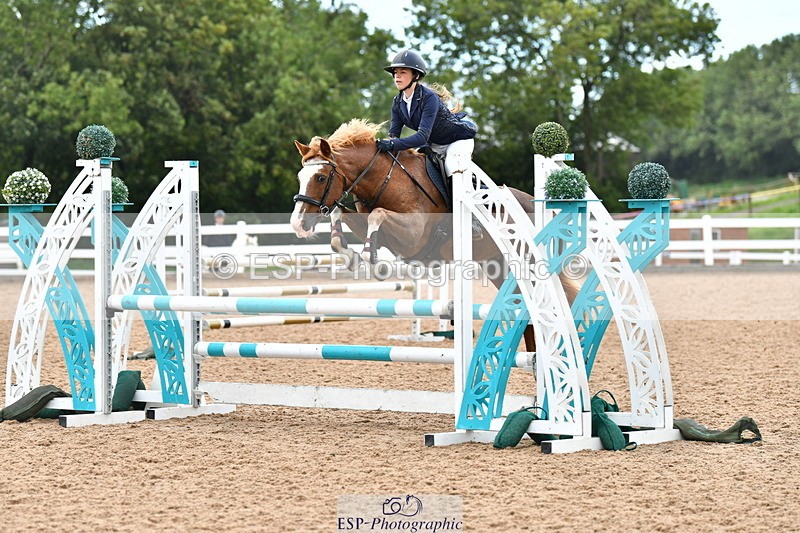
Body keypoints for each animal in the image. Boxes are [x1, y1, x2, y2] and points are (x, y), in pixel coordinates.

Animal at [290, 119, 579, 348]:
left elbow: (377, 215)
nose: (298, 225)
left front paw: (373, 261)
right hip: (500, 268)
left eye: (320, 177)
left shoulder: (413, 235)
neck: (384, 179)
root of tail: (533, 201)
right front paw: (350, 255)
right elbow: (341, 216)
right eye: (300, 177)